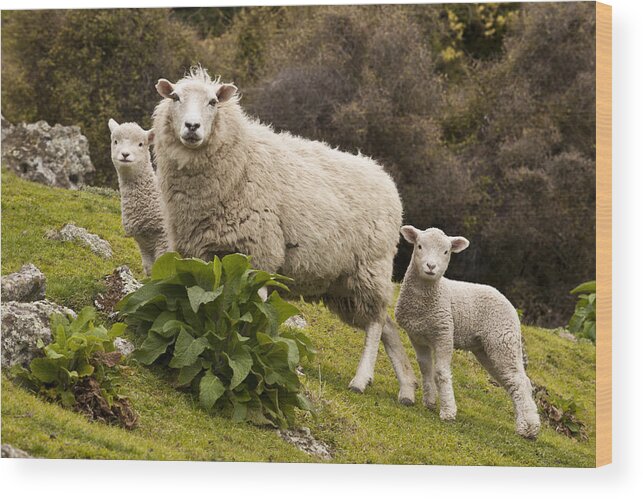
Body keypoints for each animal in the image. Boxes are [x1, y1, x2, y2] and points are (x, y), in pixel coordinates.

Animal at [109, 120, 169, 278]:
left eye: (141, 144)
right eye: (115, 141)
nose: (125, 154)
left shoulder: (163, 237)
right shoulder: (142, 241)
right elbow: (149, 269)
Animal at [152, 66, 418, 404]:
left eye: (213, 102)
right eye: (175, 97)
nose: (192, 127)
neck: (240, 160)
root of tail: (385, 178)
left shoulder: (259, 253)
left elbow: (257, 311)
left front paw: (256, 349)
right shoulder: (202, 253)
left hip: (369, 268)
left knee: (375, 324)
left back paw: (361, 379)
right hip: (342, 284)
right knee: (388, 324)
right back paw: (407, 388)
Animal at [394, 225, 540, 440]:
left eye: (446, 252)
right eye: (419, 246)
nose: (431, 266)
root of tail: (509, 304)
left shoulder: (444, 333)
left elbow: (441, 372)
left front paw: (448, 411)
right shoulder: (416, 336)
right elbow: (426, 368)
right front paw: (429, 402)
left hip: (503, 339)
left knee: (520, 381)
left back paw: (530, 428)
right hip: (486, 349)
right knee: (511, 382)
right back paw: (522, 424)